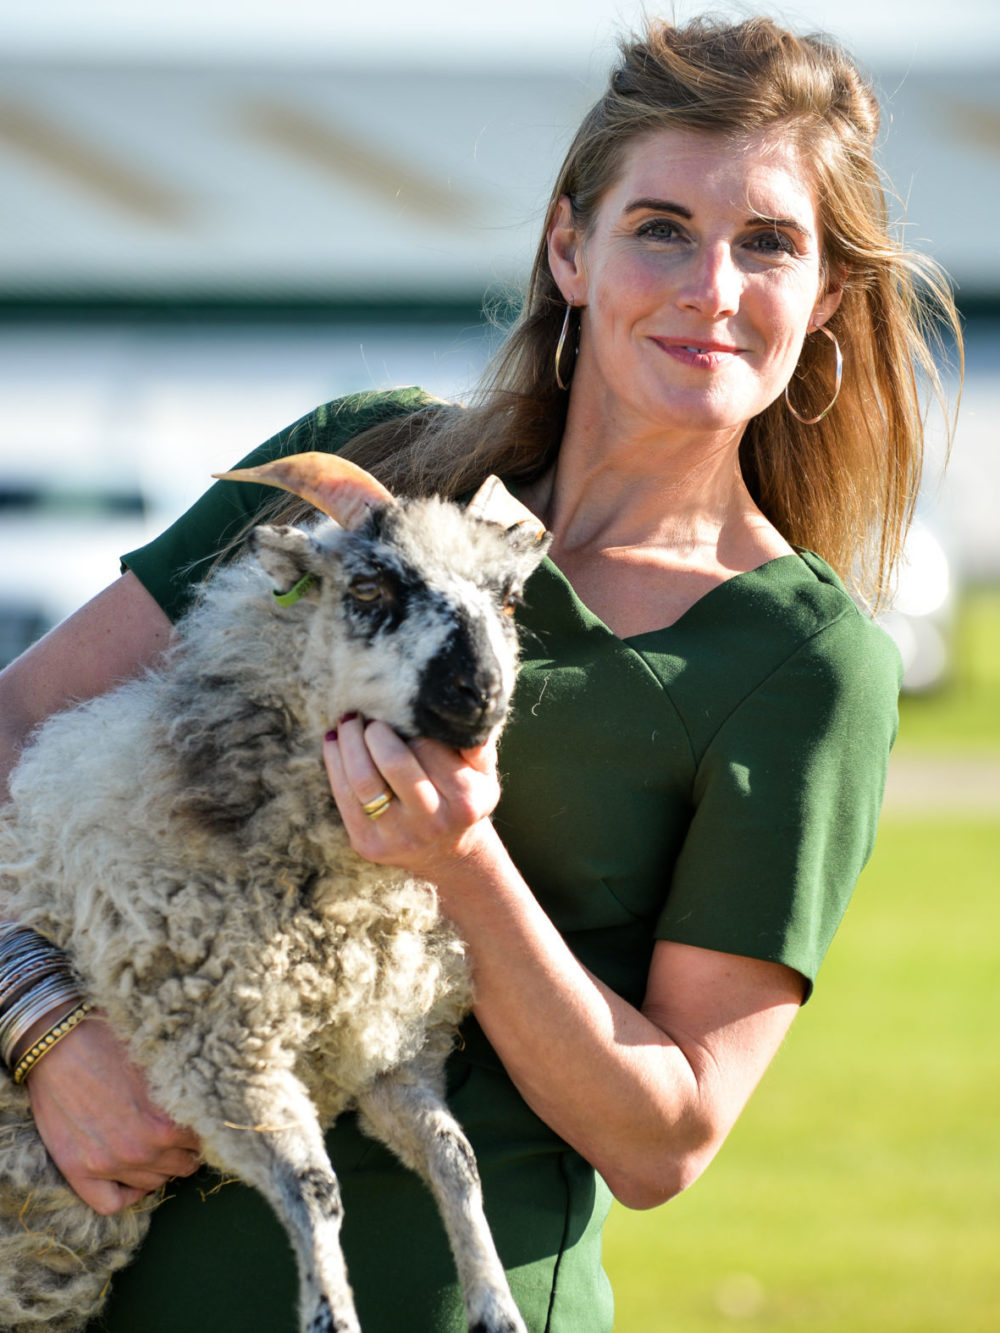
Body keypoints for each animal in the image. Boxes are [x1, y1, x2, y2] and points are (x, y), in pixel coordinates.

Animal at [0, 450, 549, 1333]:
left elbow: (457, 1161)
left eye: (505, 599)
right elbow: (313, 1187)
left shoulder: (390, 1052)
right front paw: (333, 1313)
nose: (481, 694)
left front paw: (496, 1305)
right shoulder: (219, 1054)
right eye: (369, 590)